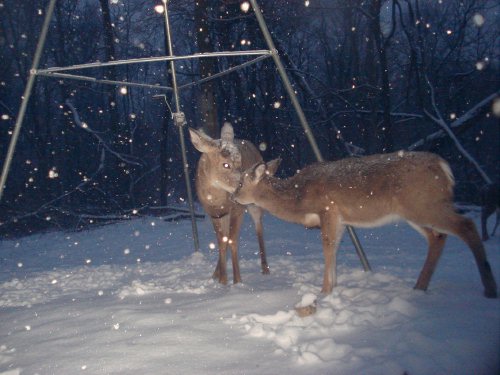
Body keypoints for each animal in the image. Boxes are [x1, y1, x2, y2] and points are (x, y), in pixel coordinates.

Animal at [188, 123, 270, 284]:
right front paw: (222, 280)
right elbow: (221, 241)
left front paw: (237, 280)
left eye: (240, 162)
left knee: (259, 227)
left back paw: (265, 269)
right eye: (225, 165)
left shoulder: (237, 209)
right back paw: (215, 274)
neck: (217, 199)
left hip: (254, 205)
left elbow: (232, 240)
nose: (243, 186)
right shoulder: (215, 213)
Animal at [229, 151, 496, 298]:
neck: (299, 197)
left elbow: (327, 247)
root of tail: (445, 168)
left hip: (424, 204)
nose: (233, 196)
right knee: (437, 237)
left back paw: (490, 288)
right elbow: (334, 248)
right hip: (414, 211)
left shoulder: (329, 209)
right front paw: (332, 287)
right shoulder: (339, 219)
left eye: (241, 183)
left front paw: (324, 291)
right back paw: (420, 286)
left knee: (466, 225)